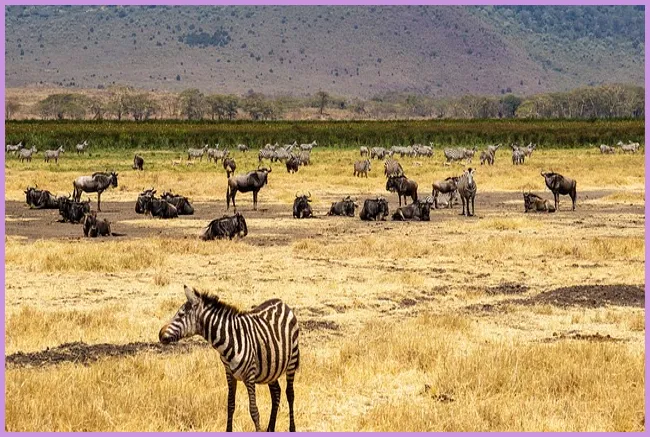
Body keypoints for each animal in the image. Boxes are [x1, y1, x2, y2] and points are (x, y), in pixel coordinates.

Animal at [159, 285, 300, 432]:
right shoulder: (229, 374)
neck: (229, 339)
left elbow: (254, 410)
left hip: (292, 360)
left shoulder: (250, 376)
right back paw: (270, 429)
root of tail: (281, 302)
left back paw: (292, 428)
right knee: (276, 392)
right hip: (271, 367)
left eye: (180, 315)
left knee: (290, 394)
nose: (160, 334)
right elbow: (230, 405)